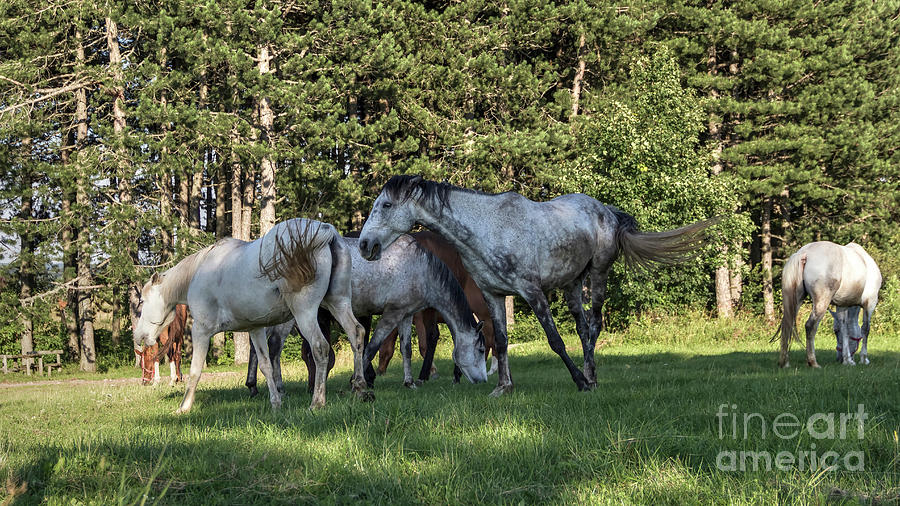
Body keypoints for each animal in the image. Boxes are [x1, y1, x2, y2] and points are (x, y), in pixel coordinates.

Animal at [131, 217, 370, 412]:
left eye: (142, 302)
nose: (139, 336)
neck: (198, 273)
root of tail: (326, 231)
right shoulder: (255, 329)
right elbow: (265, 365)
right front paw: (275, 403)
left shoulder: (201, 331)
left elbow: (195, 370)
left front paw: (184, 406)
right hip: (338, 303)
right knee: (356, 334)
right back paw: (360, 388)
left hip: (305, 313)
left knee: (320, 348)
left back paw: (317, 402)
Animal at [243, 233, 488, 396]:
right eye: (481, 350)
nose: (482, 381)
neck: (419, 267)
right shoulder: (392, 313)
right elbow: (371, 347)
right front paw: (357, 382)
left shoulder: (406, 314)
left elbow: (406, 349)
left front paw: (409, 382)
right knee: (274, 346)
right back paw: (277, 388)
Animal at [374, 231, 500, 382]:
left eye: (381, 353)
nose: (379, 371)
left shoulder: (419, 318)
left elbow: (424, 344)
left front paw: (430, 372)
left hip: (483, 313)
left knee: (490, 339)